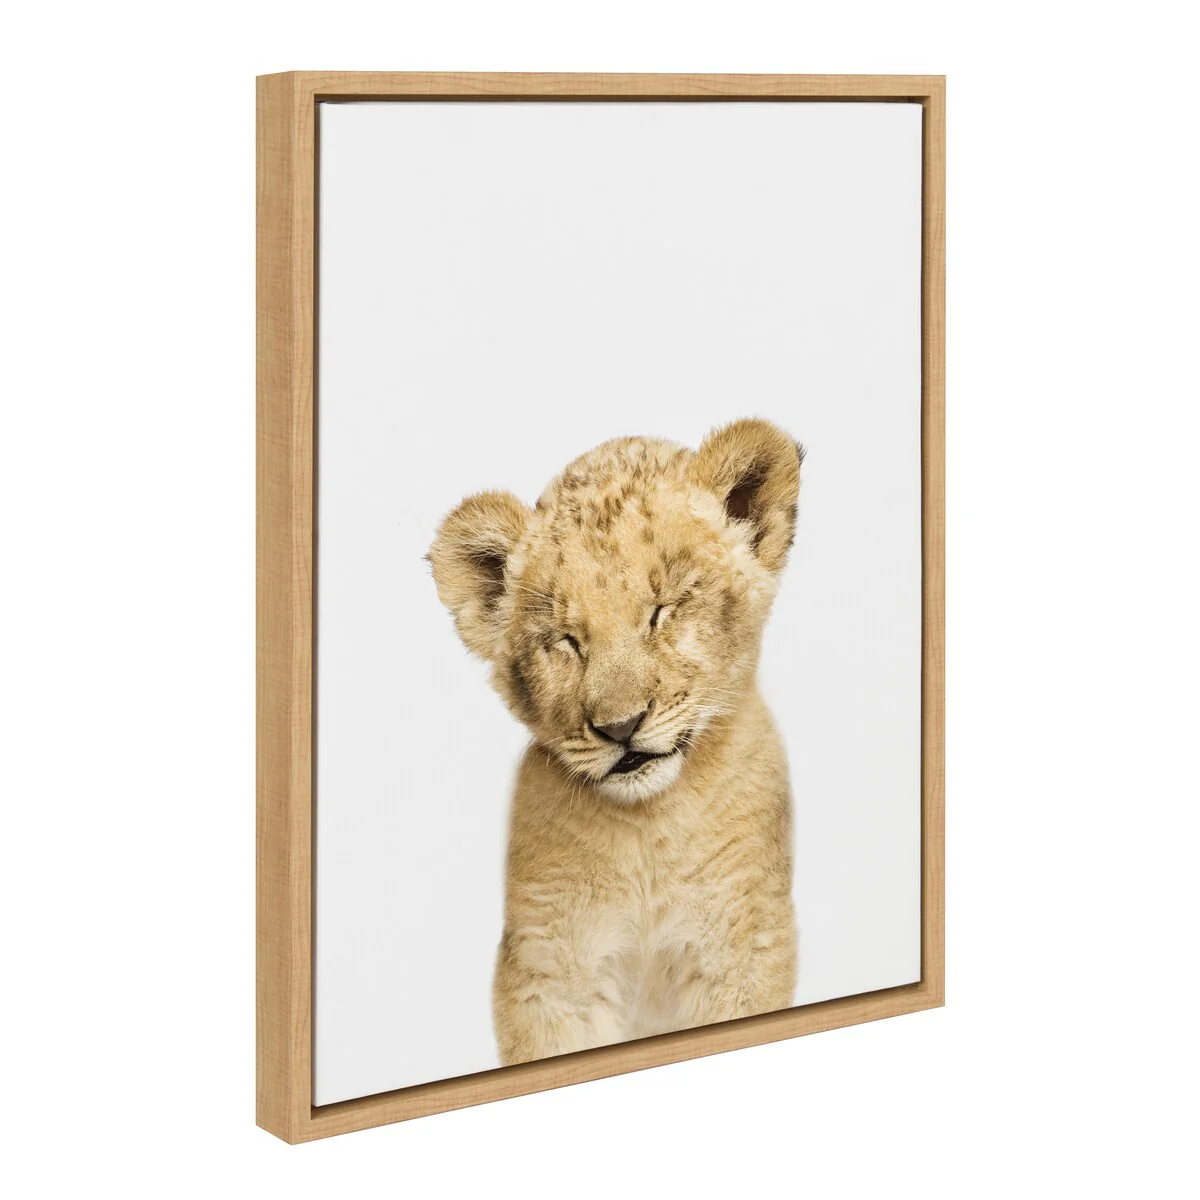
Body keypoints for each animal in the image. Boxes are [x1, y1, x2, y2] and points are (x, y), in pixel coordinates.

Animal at [428, 418, 802, 1065]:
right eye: (566, 640)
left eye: (662, 610)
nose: (621, 726)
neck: (647, 826)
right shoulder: (548, 968)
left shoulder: (744, 943)